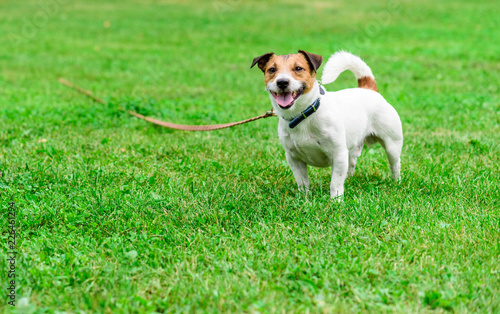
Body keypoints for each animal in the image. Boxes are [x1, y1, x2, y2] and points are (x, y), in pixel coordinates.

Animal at [250, 50, 402, 200]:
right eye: (272, 70)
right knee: (352, 162)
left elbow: (335, 183)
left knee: (395, 164)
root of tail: (368, 89)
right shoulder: (294, 158)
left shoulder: (338, 154)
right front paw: (304, 198)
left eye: (298, 68)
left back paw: (396, 182)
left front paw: (336, 201)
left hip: (392, 145)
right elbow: (302, 181)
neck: (303, 114)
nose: (282, 82)